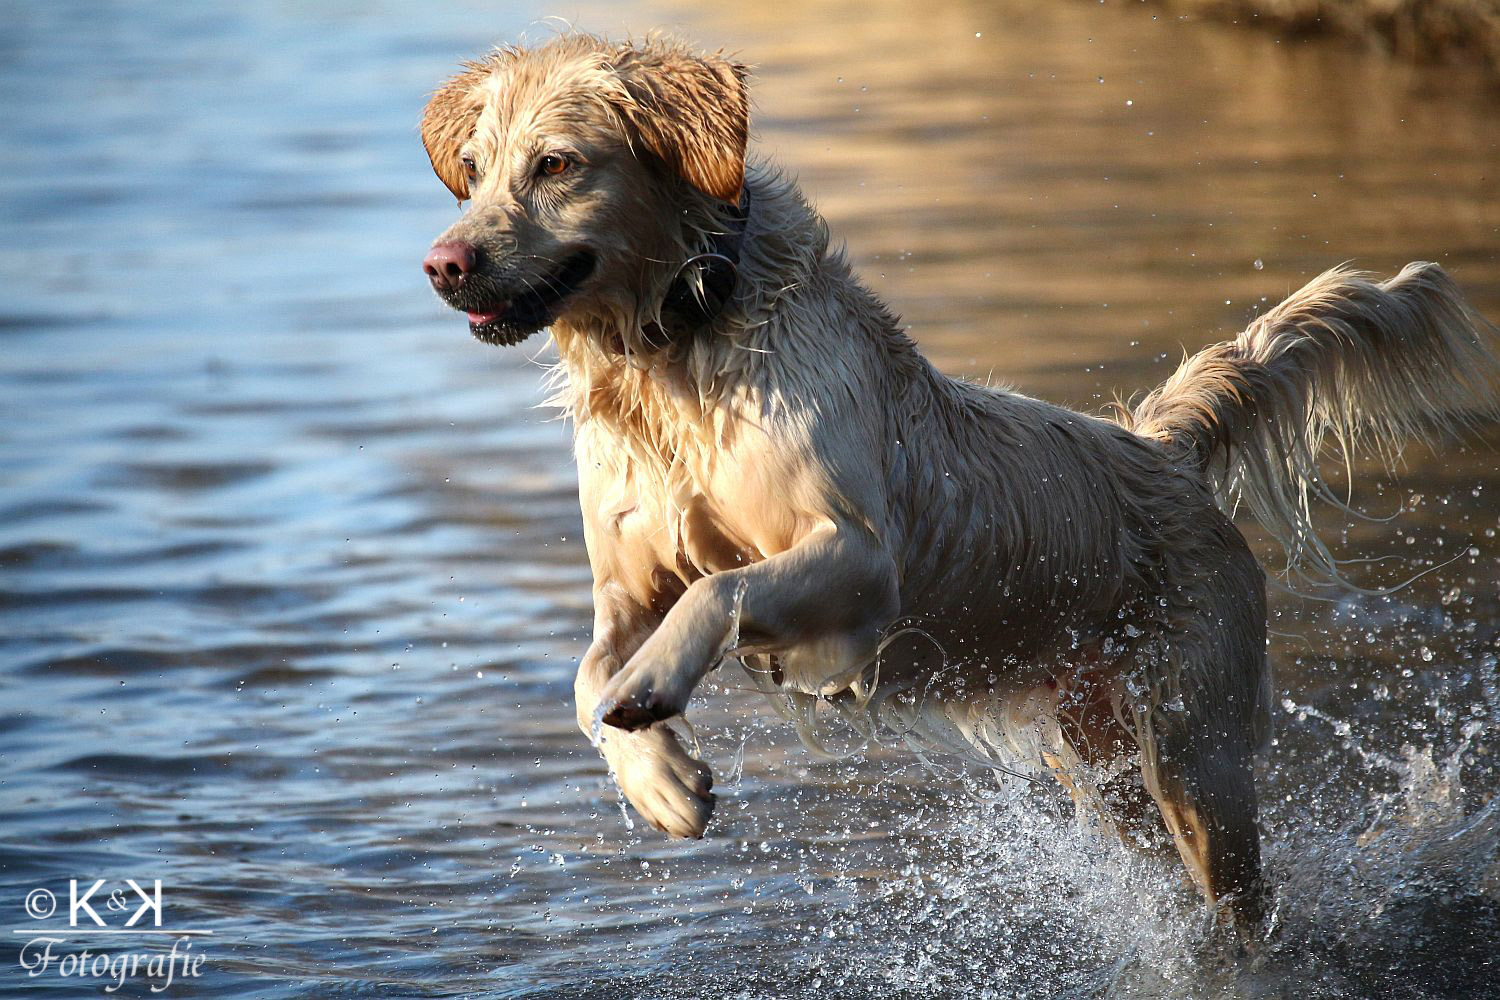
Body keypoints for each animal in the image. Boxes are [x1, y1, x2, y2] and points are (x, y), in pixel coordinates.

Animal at [414, 33, 1500, 941]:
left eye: (557, 164)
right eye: (475, 170)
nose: (443, 263)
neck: (675, 349)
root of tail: (1161, 450)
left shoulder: (861, 559)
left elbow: (719, 589)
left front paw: (656, 692)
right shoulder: (627, 583)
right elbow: (586, 674)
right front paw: (664, 782)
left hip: (1198, 750)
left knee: (1241, 898)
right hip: (1103, 756)